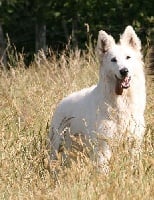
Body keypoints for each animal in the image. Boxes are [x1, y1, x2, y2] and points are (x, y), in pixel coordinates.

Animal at [48, 25, 146, 171]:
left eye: (128, 57)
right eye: (113, 60)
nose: (124, 71)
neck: (120, 102)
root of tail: (63, 101)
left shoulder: (133, 141)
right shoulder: (103, 146)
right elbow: (103, 168)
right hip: (58, 145)